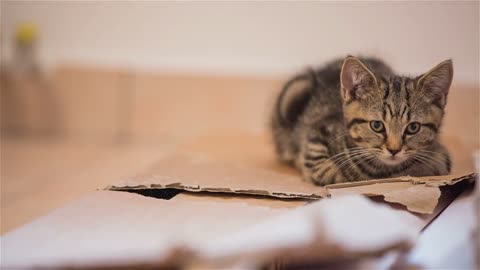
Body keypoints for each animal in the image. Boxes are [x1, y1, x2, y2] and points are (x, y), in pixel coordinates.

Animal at [272, 55, 452, 185]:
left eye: (413, 127)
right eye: (377, 125)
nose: (394, 150)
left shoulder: (442, 157)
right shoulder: (317, 133)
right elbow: (326, 171)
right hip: (294, 91)